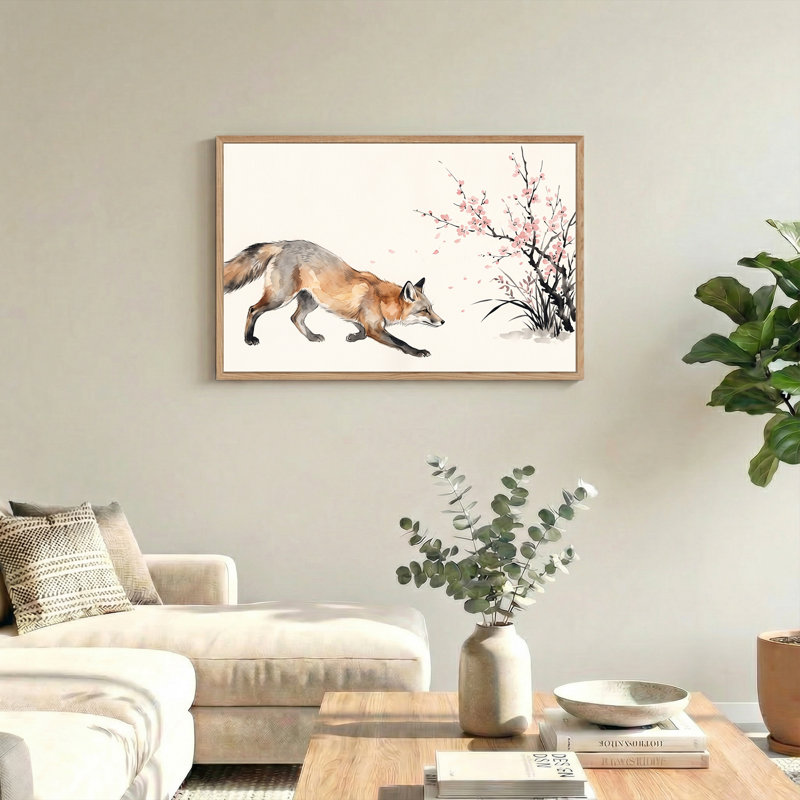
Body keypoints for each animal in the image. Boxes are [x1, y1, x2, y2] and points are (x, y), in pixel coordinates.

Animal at [223, 240, 444, 357]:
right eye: (425, 310)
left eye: (432, 307)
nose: (442, 321)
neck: (382, 299)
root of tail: (283, 243)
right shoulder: (375, 327)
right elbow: (401, 342)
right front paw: (418, 351)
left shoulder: (358, 317)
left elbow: (361, 331)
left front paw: (353, 337)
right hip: (279, 297)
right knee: (253, 309)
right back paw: (248, 339)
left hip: (310, 301)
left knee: (295, 318)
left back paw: (312, 337)